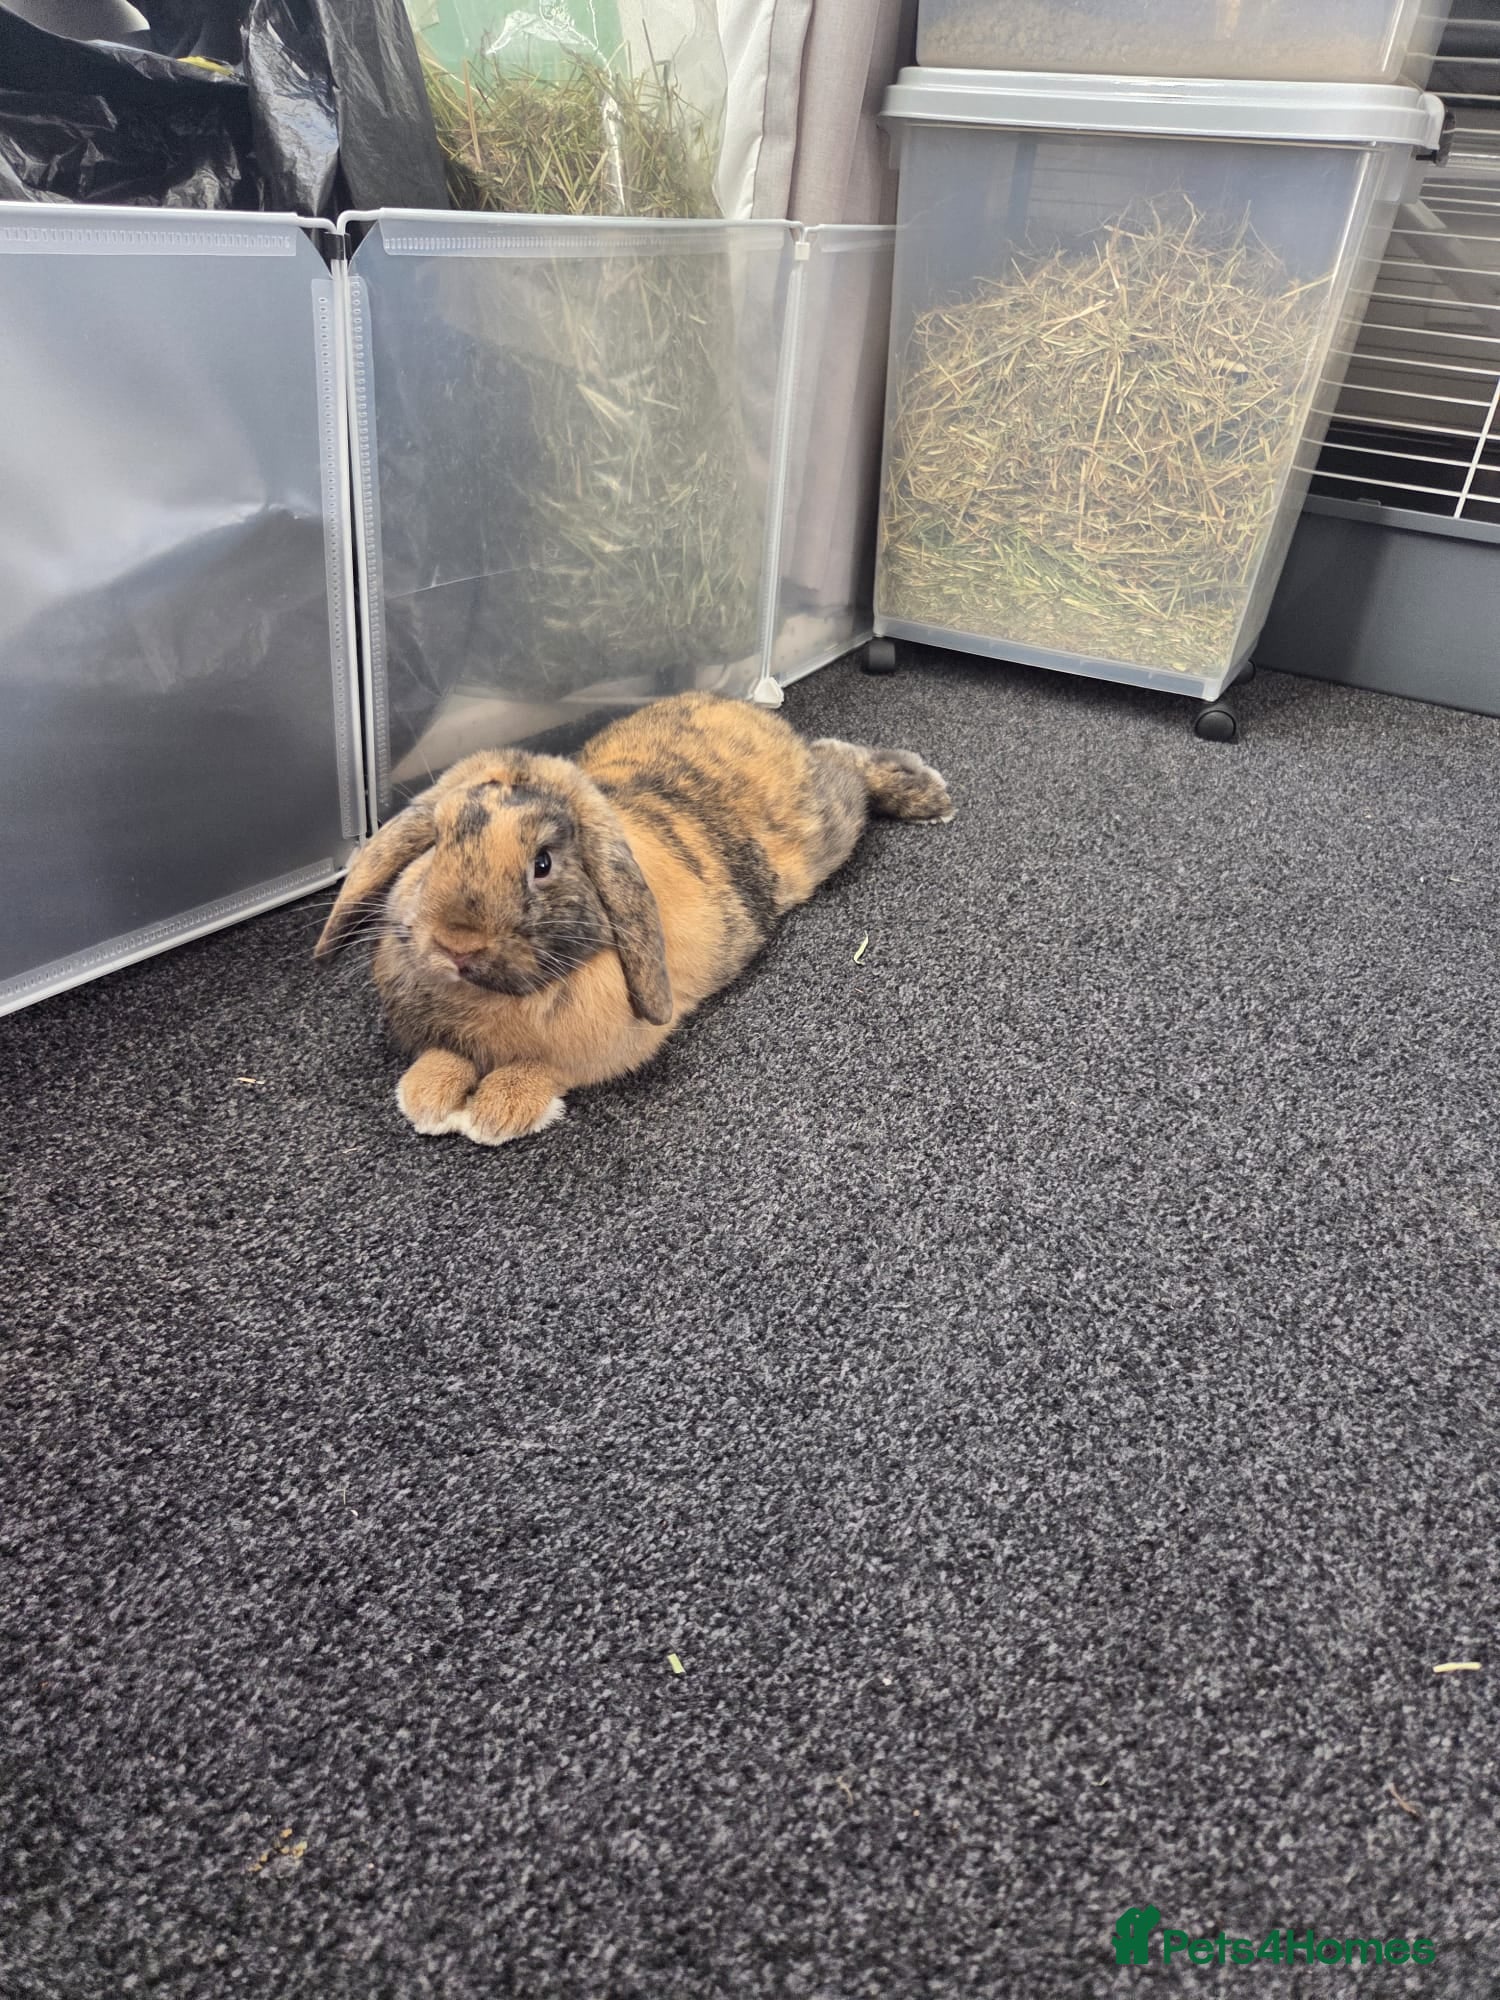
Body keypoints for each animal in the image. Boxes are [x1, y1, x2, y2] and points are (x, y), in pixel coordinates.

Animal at [315, 691, 954, 1145]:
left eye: (543, 863)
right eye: (437, 844)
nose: (456, 944)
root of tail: (742, 707)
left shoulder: (599, 1048)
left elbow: (544, 1070)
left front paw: (498, 1112)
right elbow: (438, 1058)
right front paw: (425, 1098)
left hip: (826, 828)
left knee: (845, 762)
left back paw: (931, 797)